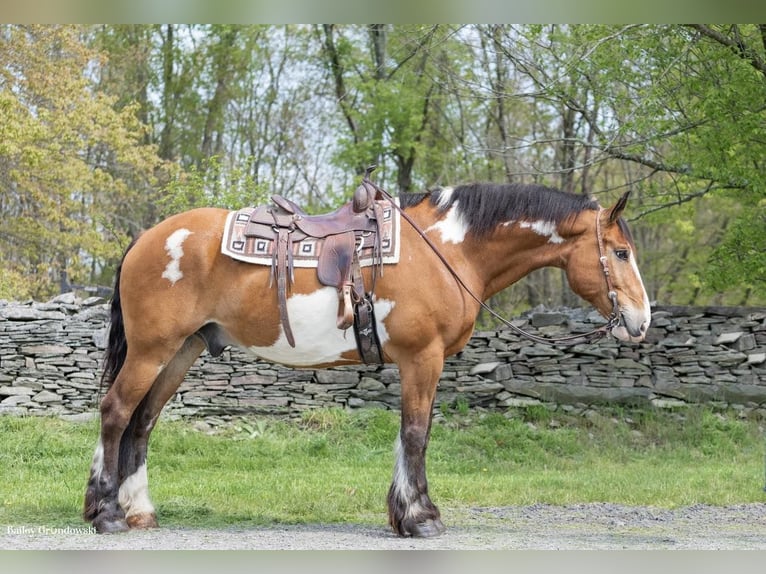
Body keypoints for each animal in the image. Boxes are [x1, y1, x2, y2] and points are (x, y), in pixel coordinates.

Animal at [84, 183, 652, 540]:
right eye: (621, 252)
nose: (641, 320)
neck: (449, 250)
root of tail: (147, 238)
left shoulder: (417, 362)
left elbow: (409, 435)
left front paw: (404, 514)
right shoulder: (423, 358)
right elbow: (416, 434)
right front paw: (421, 518)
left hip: (182, 350)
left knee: (142, 423)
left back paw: (139, 511)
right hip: (154, 350)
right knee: (116, 413)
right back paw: (107, 513)